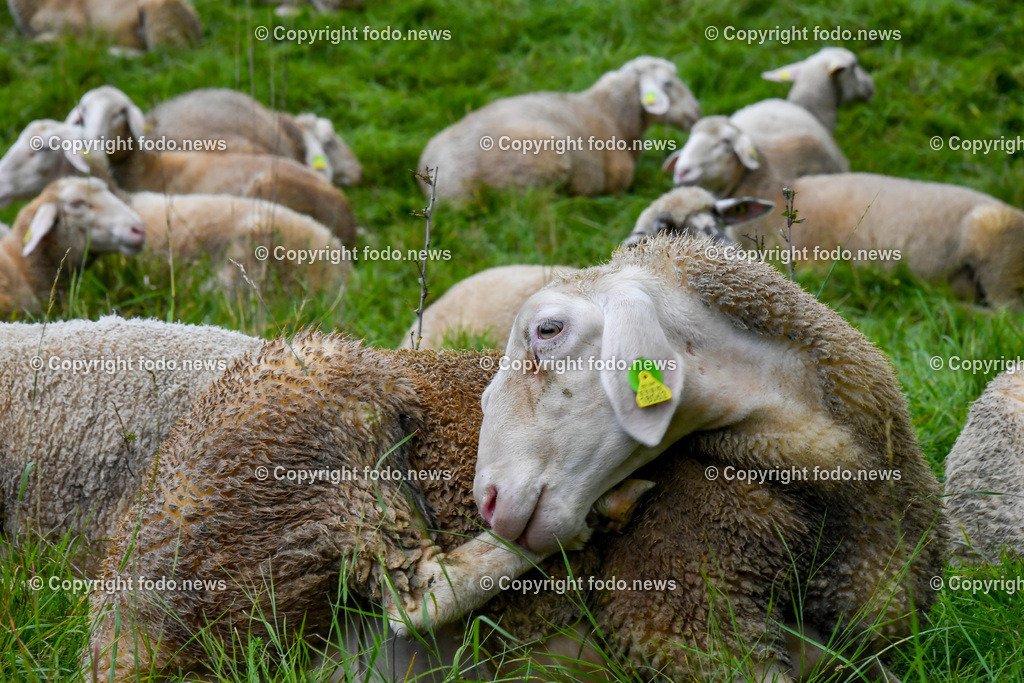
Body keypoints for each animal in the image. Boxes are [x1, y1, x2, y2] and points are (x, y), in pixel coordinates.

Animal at [84, 235, 946, 682]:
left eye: (548, 329)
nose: (489, 497)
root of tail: (118, 629)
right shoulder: (683, 620)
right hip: (321, 425)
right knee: (416, 590)